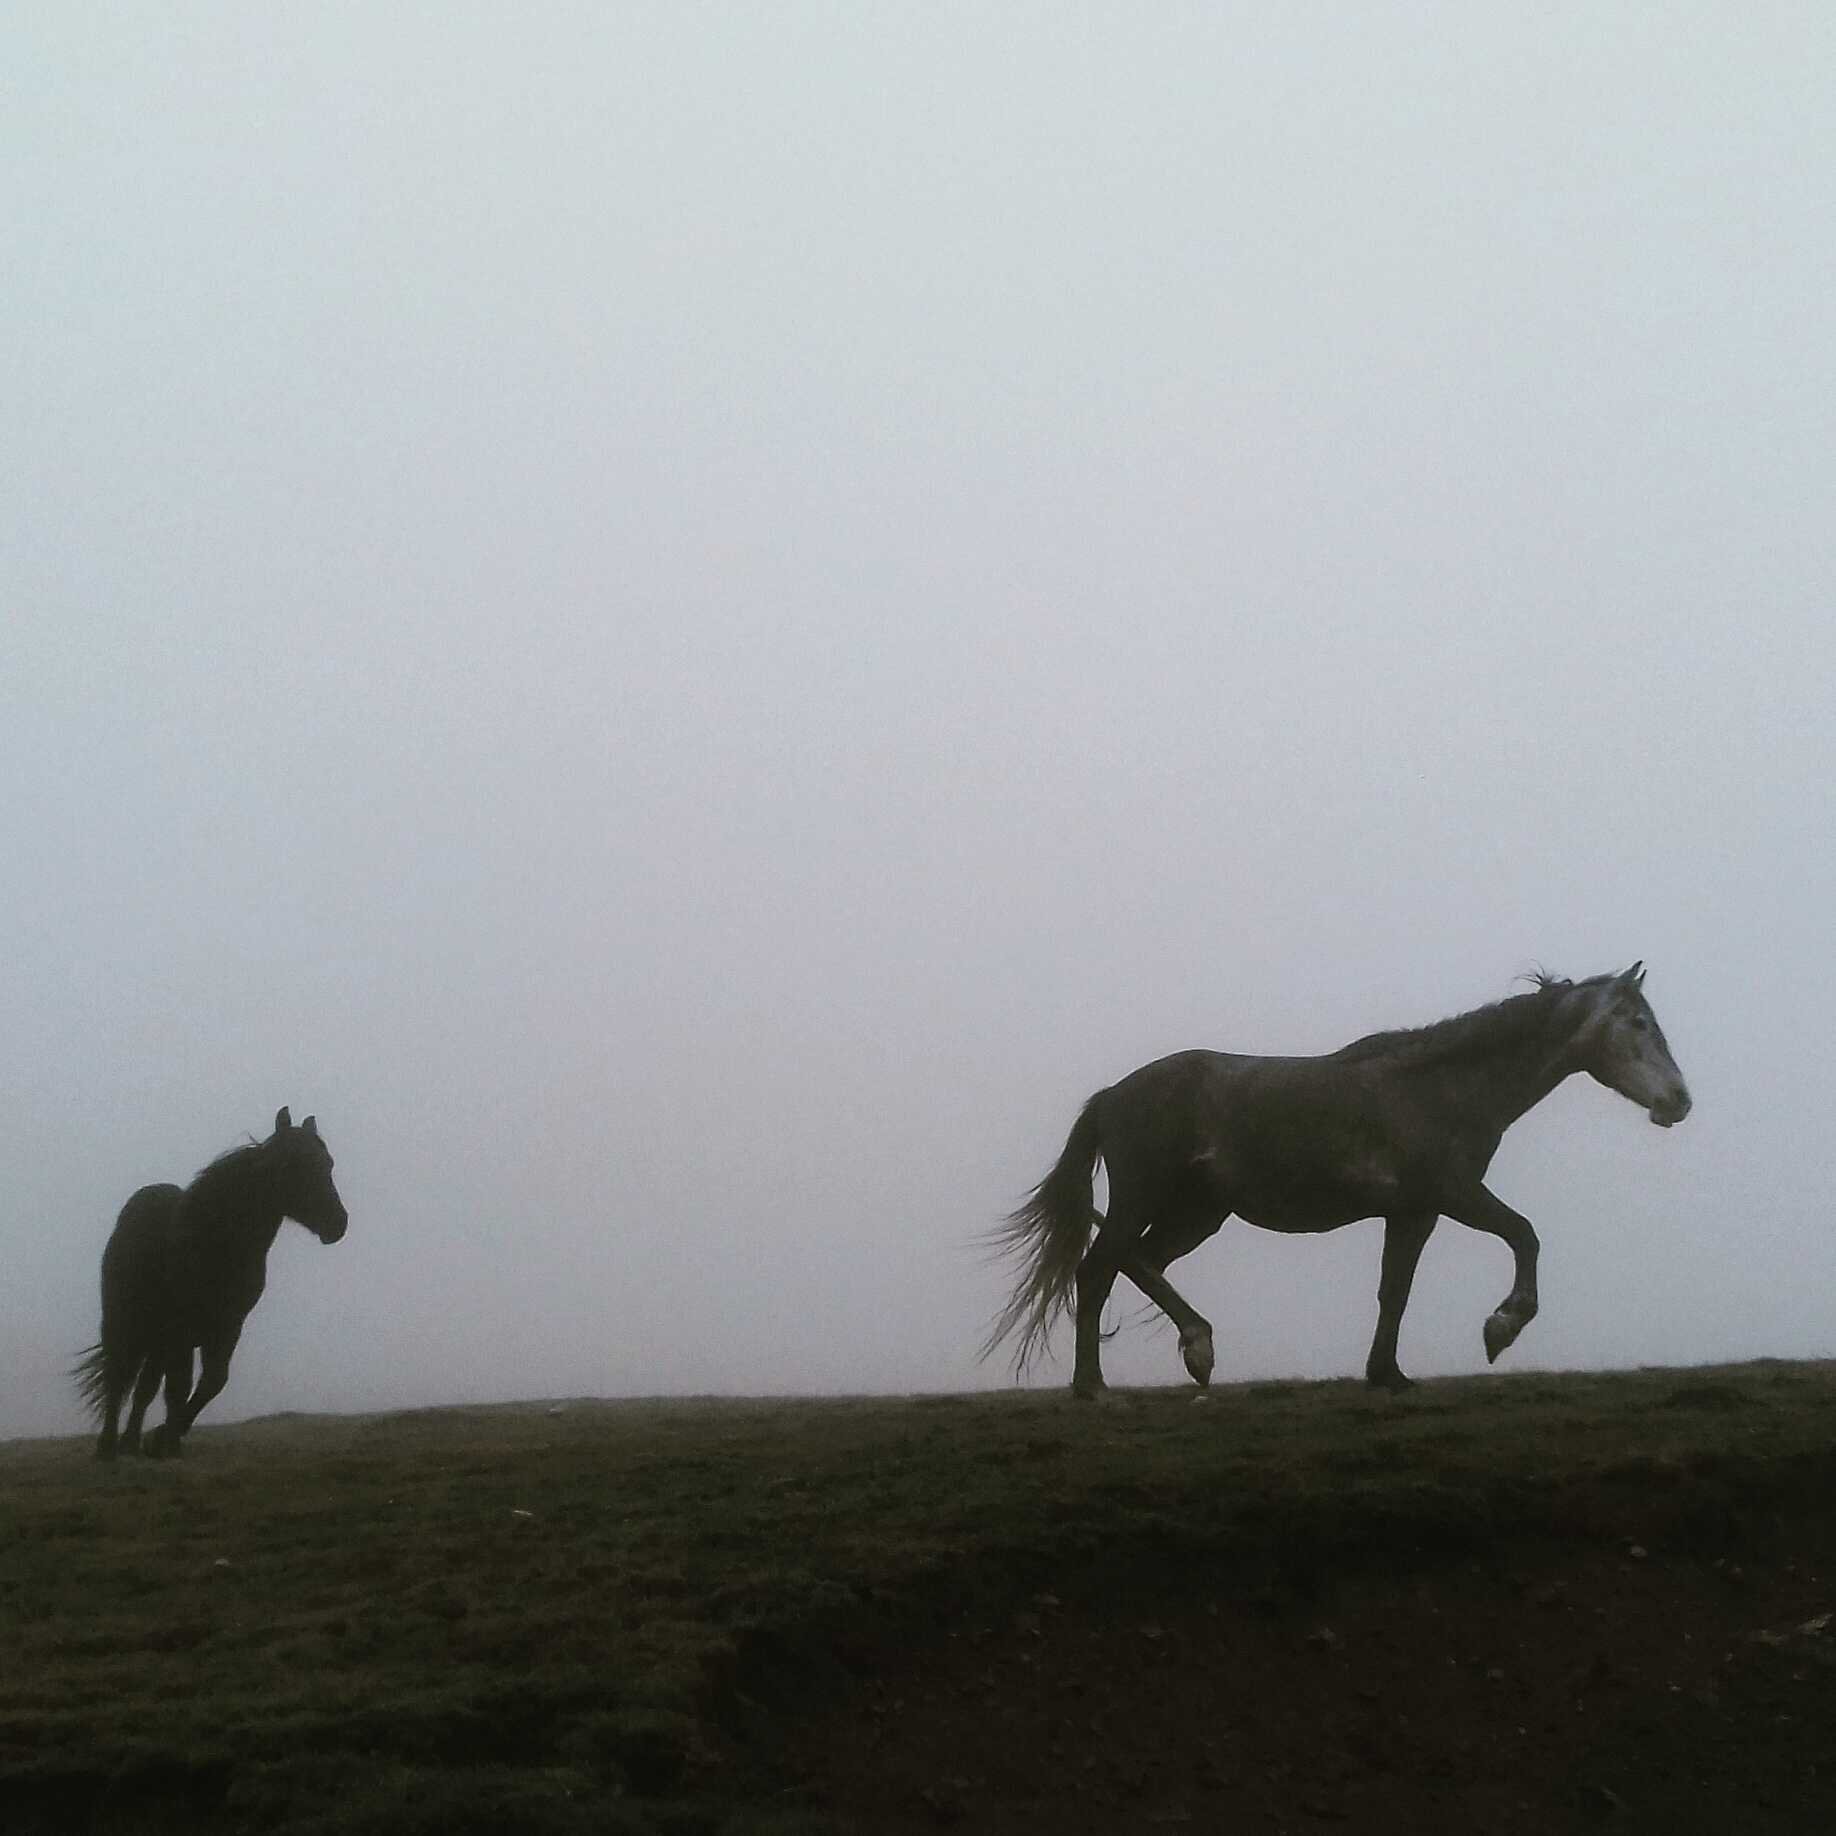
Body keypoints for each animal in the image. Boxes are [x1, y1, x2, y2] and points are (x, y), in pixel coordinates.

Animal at [75, 1101, 348, 1461]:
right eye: (291, 1164)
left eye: (327, 1163)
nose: (338, 1223)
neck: (214, 1243)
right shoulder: (181, 1329)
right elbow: (179, 1388)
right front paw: (164, 1440)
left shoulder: (227, 1326)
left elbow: (213, 1381)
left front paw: (164, 1439)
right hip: (125, 1322)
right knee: (118, 1376)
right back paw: (107, 1447)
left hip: (159, 1338)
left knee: (145, 1386)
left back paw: (131, 1442)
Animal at [991, 969, 1689, 1395]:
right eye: (1638, 1022)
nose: (1678, 1102)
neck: (1440, 1088)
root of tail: (1112, 1096)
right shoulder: (1453, 1195)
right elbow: (1524, 1234)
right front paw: (1503, 1326)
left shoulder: (1416, 1212)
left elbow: (1394, 1291)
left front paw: (1387, 1374)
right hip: (1146, 1198)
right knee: (1098, 1270)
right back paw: (1101, 1383)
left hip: (1197, 1214)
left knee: (1138, 1264)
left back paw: (1191, 1350)